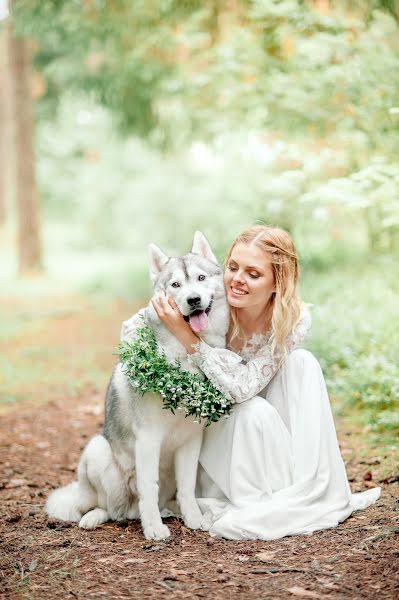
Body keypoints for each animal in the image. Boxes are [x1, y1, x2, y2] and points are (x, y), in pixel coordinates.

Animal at [45, 232, 230, 540]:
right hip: (98, 450)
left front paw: (194, 518)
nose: (193, 299)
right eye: (176, 285)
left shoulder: (191, 440)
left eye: (201, 278)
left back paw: (174, 511)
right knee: (108, 508)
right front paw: (153, 528)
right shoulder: (148, 439)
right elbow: (148, 487)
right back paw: (96, 517)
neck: (185, 355)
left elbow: (188, 486)